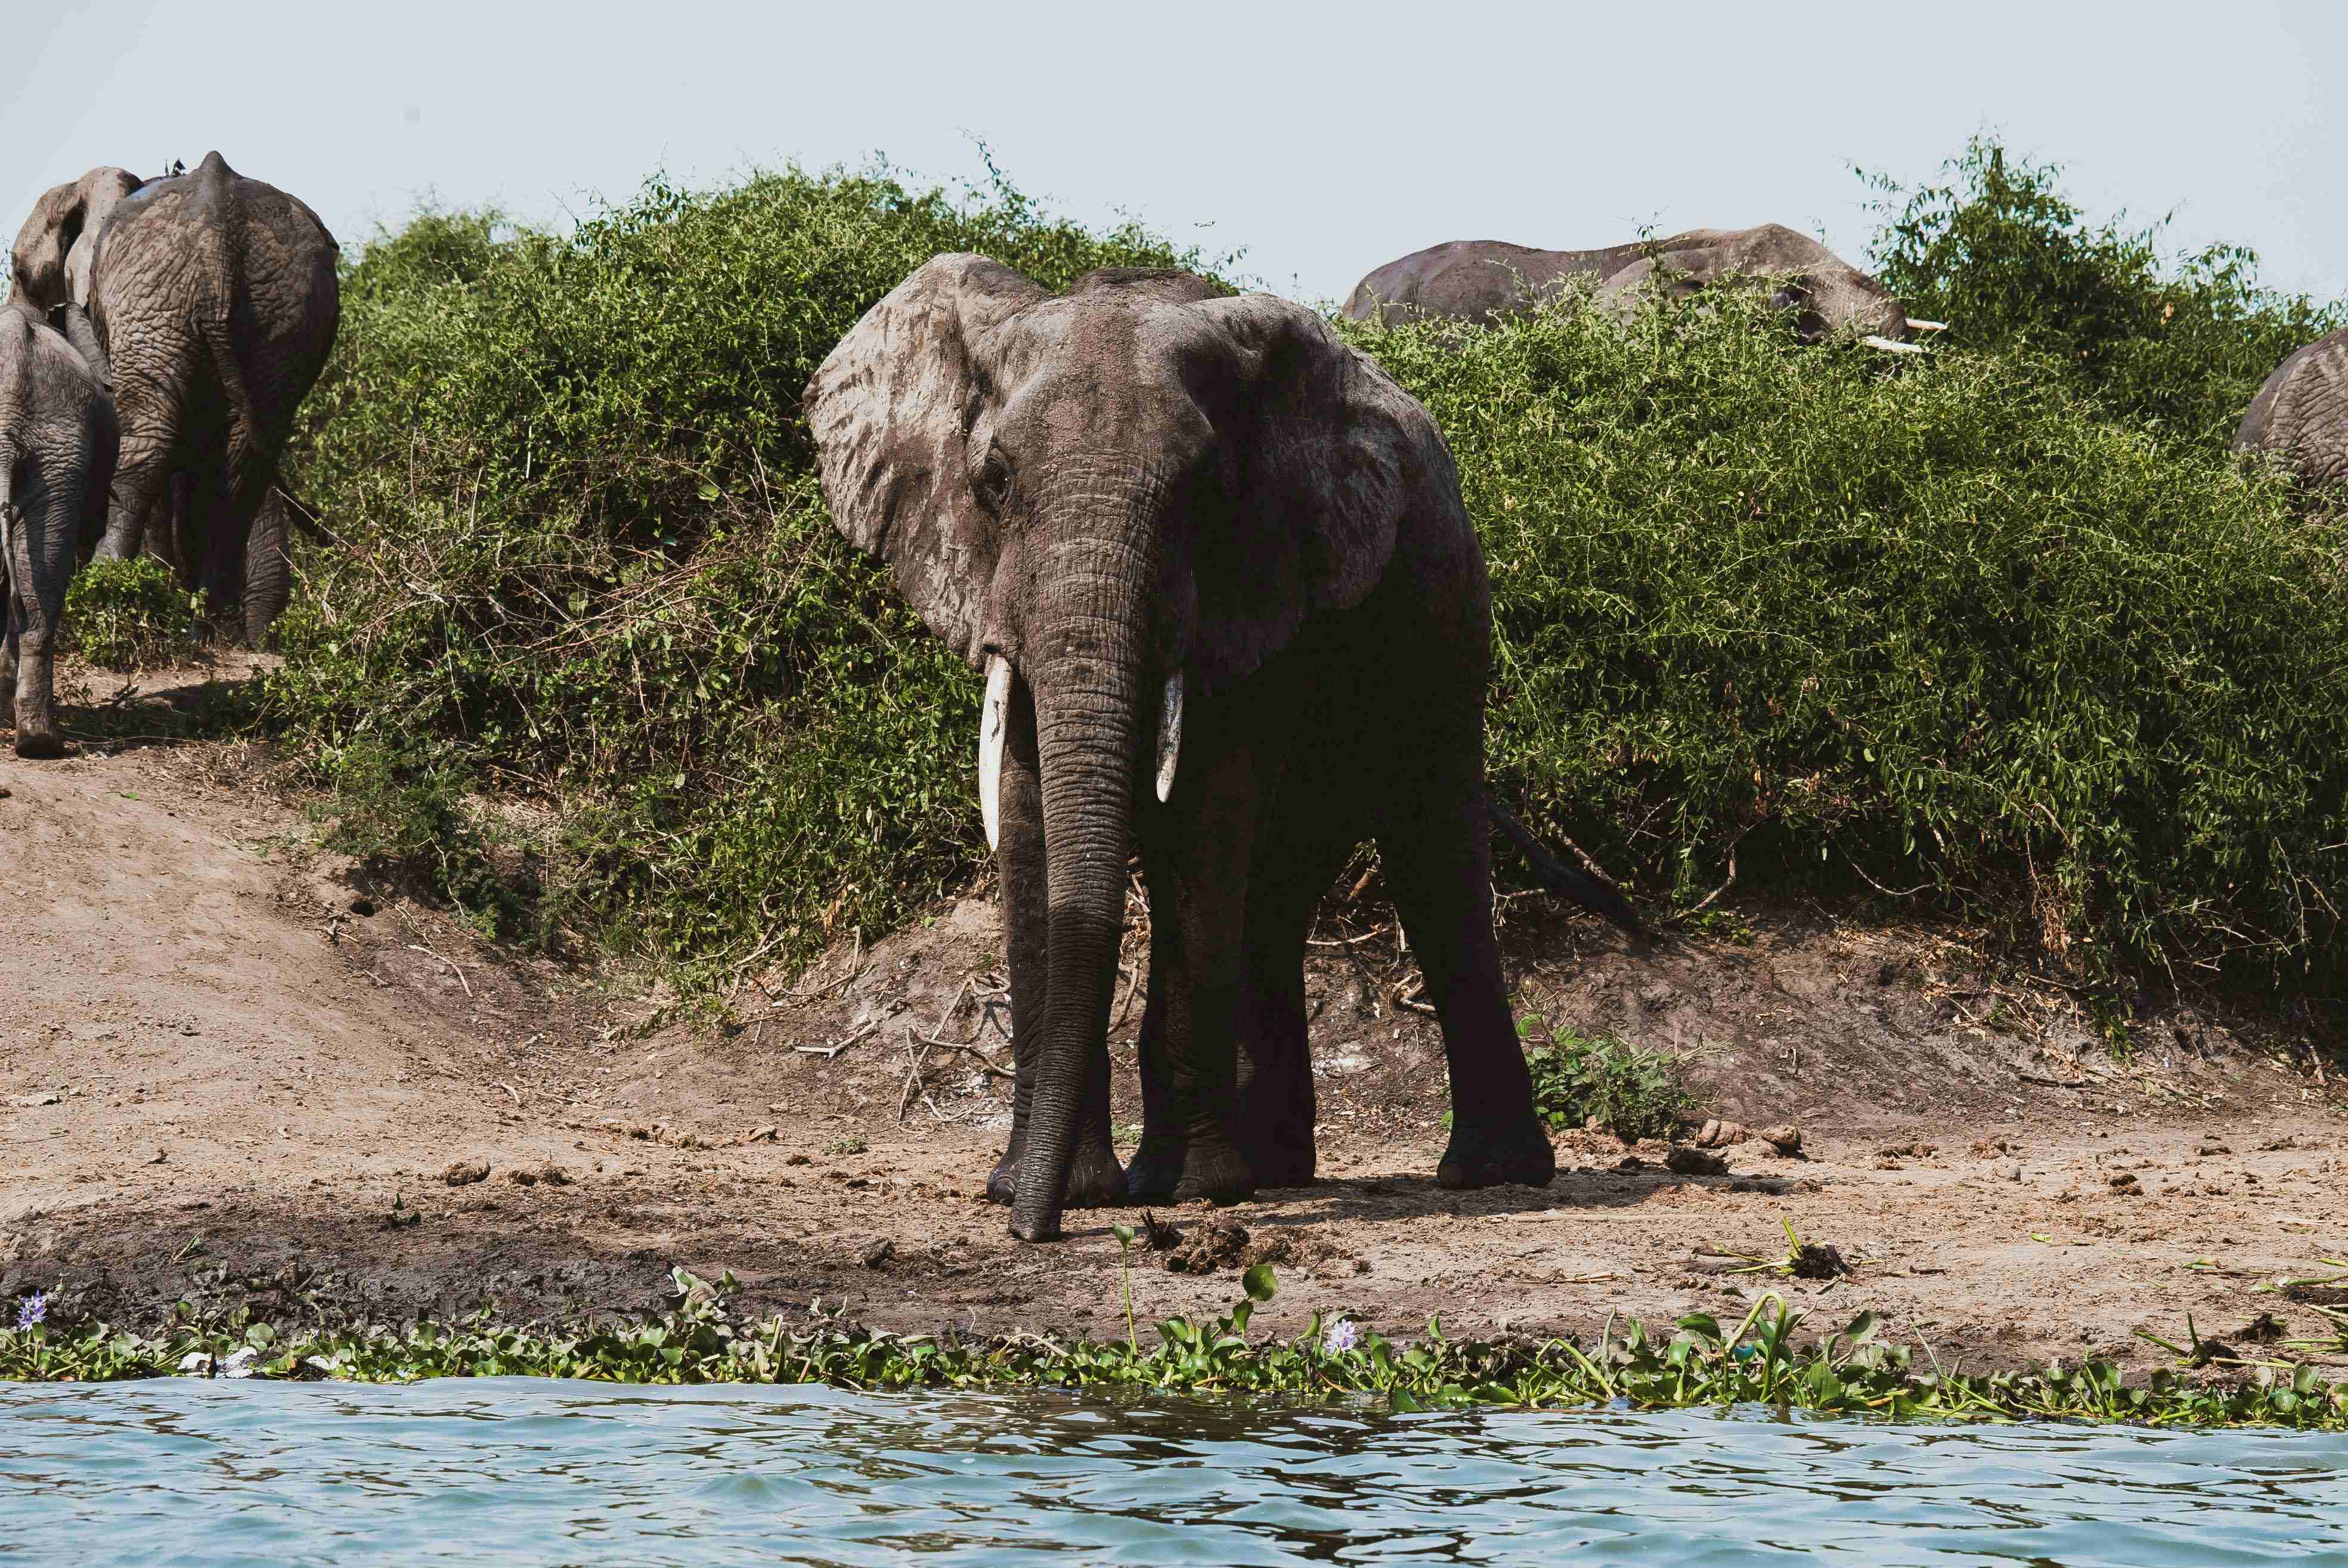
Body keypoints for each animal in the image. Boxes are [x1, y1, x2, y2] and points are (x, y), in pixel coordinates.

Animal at [9, 153, 337, 645]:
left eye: (19, 272)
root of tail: (219, 240)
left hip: (152, 299)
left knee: (150, 442)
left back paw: (107, 587)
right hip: (285, 312)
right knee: (242, 464)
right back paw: (206, 623)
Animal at [806, 257, 1637, 1241]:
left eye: (1204, 490)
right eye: (995, 480)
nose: (1032, 1231)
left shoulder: (1252, 587)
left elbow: (1204, 818)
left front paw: (1179, 1189)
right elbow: (1032, 818)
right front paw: (1048, 1188)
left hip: (1443, 597)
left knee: (1428, 846)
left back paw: (1484, 1173)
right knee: (1279, 890)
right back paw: (1276, 1168)